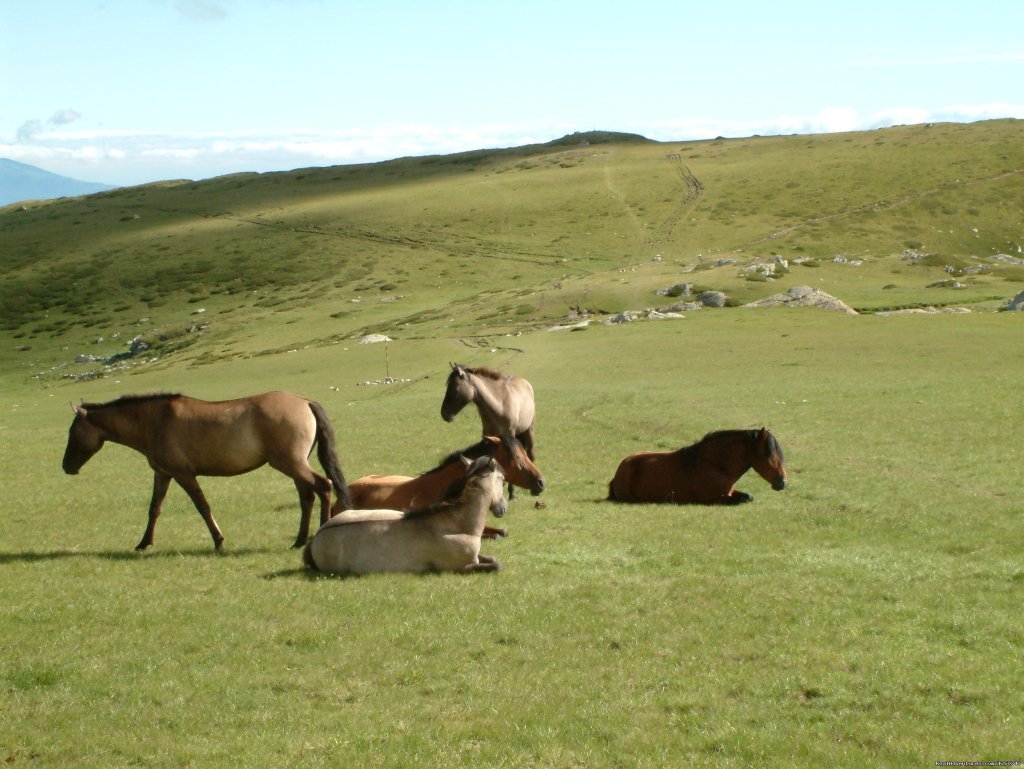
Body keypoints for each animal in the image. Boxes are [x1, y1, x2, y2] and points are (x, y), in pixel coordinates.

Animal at [65, 393, 352, 548]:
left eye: (72, 432)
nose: (66, 466)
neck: (155, 422)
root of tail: (305, 402)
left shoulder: (183, 474)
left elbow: (202, 506)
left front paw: (218, 540)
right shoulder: (163, 473)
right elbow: (154, 508)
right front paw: (144, 542)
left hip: (290, 463)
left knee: (324, 486)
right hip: (293, 465)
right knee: (307, 496)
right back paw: (299, 540)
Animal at [303, 454, 512, 573]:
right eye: (502, 480)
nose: (503, 508)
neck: (453, 525)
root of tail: (315, 540)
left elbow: (492, 559)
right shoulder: (460, 568)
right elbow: (496, 565)